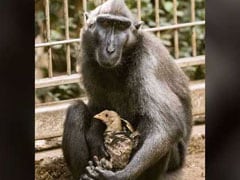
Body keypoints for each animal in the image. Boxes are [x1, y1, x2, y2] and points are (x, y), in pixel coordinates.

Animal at [61, 0, 191, 179]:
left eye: (121, 27)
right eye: (105, 23)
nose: (110, 49)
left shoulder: (147, 61)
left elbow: (168, 126)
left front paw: (119, 176)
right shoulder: (88, 60)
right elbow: (98, 107)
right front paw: (95, 136)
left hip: (176, 159)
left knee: (149, 122)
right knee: (76, 110)